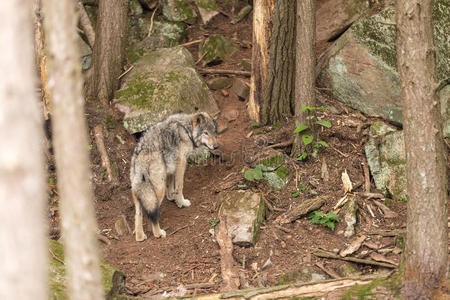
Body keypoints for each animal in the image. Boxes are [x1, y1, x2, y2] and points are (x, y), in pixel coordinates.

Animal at [130, 112, 218, 241]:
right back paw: (158, 233)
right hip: (158, 190)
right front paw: (181, 202)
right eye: (205, 132)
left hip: (139, 191)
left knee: (138, 214)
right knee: (153, 214)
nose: (216, 146)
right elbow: (179, 186)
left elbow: (171, 183)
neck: (187, 130)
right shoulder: (181, 162)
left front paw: (172, 197)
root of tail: (140, 153)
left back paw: (140, 236)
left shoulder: (171, 166)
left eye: (214, 132)